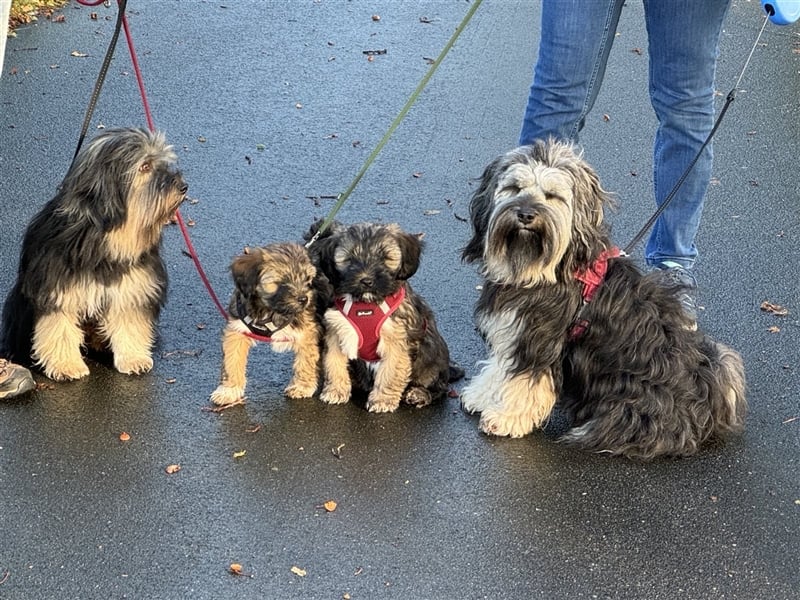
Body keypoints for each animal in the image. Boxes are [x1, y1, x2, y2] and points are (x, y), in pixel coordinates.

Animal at [0, 127, 188, 380]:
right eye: (145, 166)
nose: (183, 186)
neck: (106, 235)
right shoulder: (57, 287)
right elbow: (59, 327)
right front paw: (66, 364)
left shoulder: (132, 286)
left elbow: (130, 322)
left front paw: (133, 358)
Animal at [310, 220, 454, 412]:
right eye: (350, 260)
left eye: (384, 258)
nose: (366, 281)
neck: (366, 305)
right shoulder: (336, 332)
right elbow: (334, 362)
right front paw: (336, 390)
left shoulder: (396, 339)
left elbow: (390, 372)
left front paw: (382, 400)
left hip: (432, 361)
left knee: (438, 387)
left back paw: (419, 393)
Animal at [460, 139, 748, 460]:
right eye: (514, 188)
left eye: (552, 196)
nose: (525, 214)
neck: (541, 269)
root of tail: (705, 398)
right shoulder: (513, 330)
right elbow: (500, 366)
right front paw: (482, 394)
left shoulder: (539, 340)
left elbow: (526, 382)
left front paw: (507, 417)